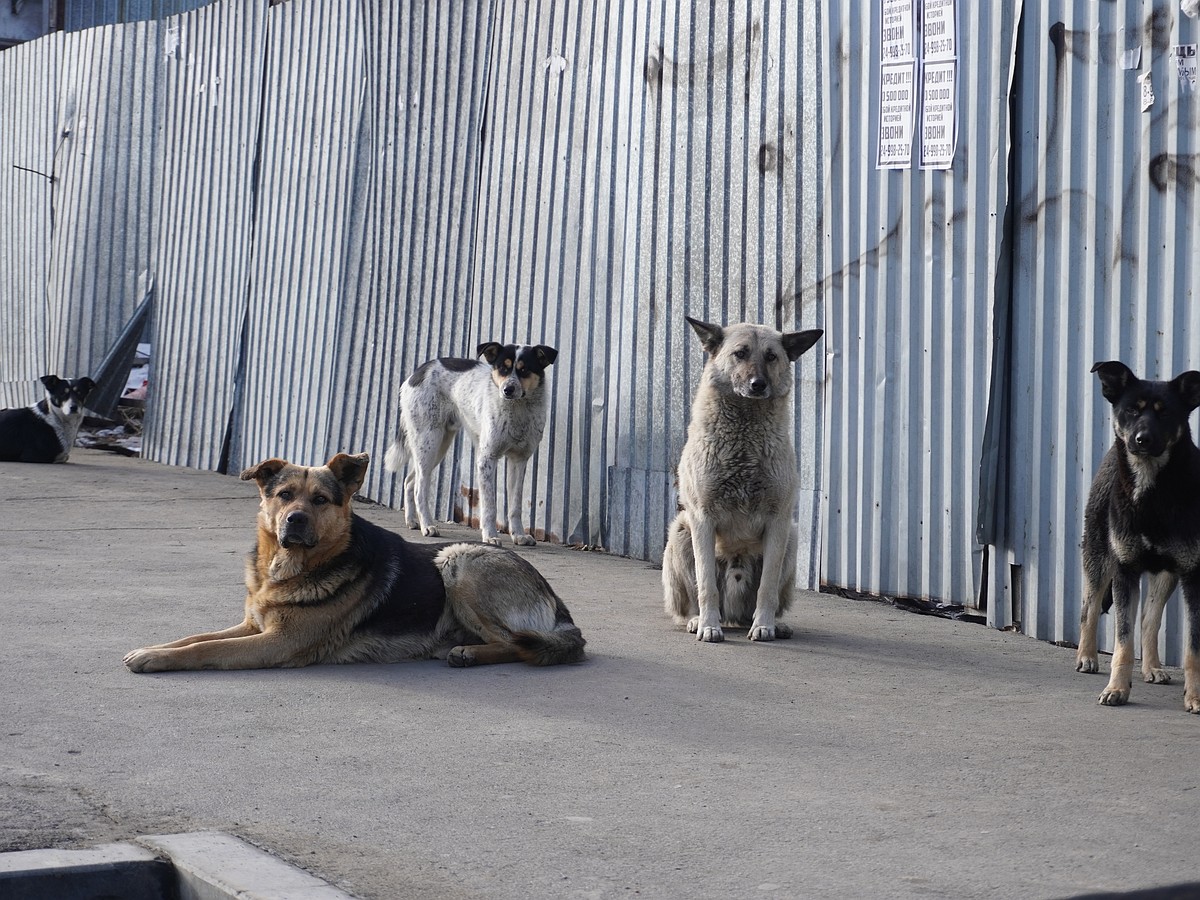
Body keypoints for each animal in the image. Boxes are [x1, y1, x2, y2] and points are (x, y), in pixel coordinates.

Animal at [123, 453, 585, 672]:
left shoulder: (276, 642)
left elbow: (206, 649)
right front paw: (151, 649)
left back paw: (469, 652)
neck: (289, 568)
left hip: (459, 560)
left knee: (518, 644)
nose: (294, 520)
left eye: (320, 500)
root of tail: (559, 605)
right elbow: (194, 638)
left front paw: (156, 660)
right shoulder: (254, 626)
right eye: (284, 495)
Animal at [384, 340, 556, 547]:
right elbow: (489, 506)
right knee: (419, 487)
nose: (507, 390)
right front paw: (490, 536)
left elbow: (515, 506)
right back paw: (428, 525)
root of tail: (418, 372)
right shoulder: (487, 459)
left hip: (438, 445)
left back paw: (412, 521)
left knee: (410, 481)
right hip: (428, 441)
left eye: (524, 370)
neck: (518, 410)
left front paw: (519, 535)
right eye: (502, 368)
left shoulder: (519, 461)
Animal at [662, 316, 820, 643]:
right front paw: (709, 626)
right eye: (740, 353)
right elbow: (706, 584)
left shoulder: (778, 521)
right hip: (681, 531)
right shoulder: (702, 519)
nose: (758, 385)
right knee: (692, 598)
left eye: (771, 357)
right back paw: (697, 619)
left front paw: (764, 625)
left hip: (791, 538)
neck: (745, 437)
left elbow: (767, 588)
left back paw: (774, 624)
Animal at [1084, 362, 1200, 715]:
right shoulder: (1125, 569)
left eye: (1165, 413)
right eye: (1132, 410)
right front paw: (1116, 689)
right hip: (1099, 555)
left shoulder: (1192, 573)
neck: (1153, 493)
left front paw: (1194, 697)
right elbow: (1122, 641)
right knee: (1089, 605)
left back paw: (1152, 667)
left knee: (1150, 619)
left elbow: (1192, 647)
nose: (1142, 439)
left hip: (1167, 573)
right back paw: (1087, 656)